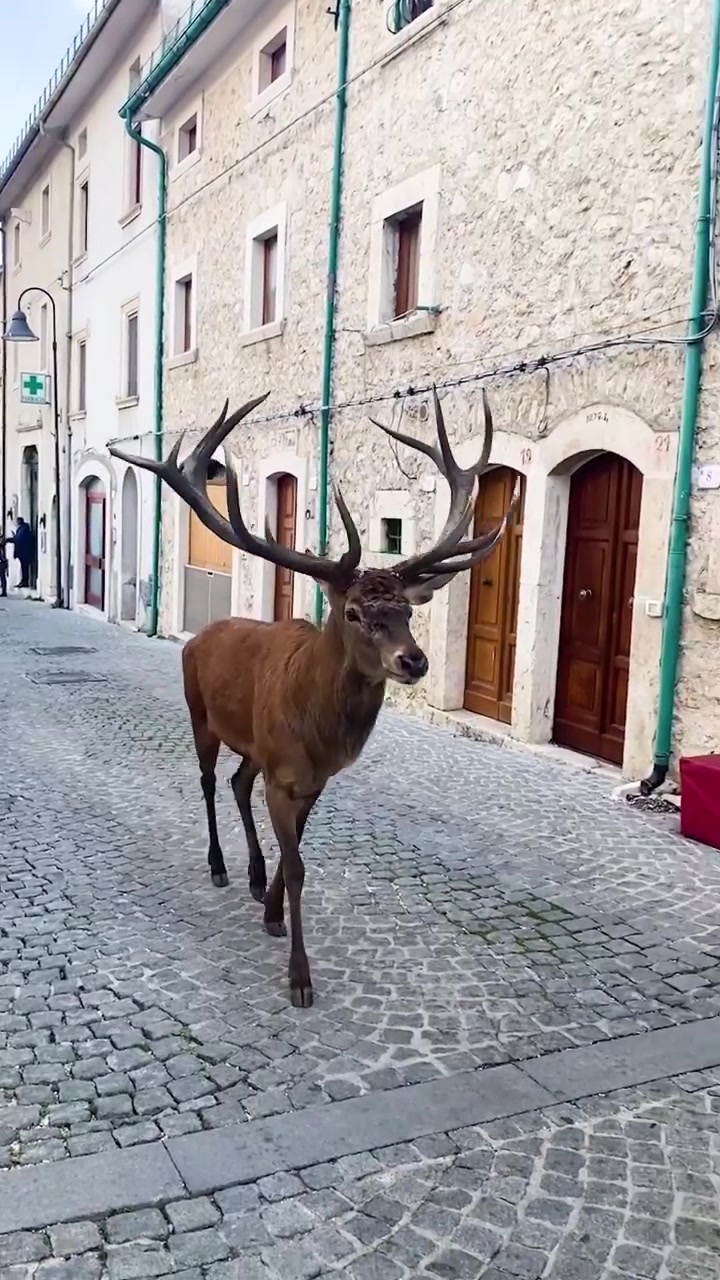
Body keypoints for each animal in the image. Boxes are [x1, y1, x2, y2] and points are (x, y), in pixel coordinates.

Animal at [109, 388, 518, 1008]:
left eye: (407, 610)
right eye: (353, 612)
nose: (414, 660)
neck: (319, 730)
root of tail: (202, 634)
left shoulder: (312, 779)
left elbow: (294, 850)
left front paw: (273, 910)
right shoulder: (284, 777)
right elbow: (299, 864)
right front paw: (299, 977)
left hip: (255, 748)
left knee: (237, 782)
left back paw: (254, 878)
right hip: (199, 714)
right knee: (207, 781)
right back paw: (220, 866)